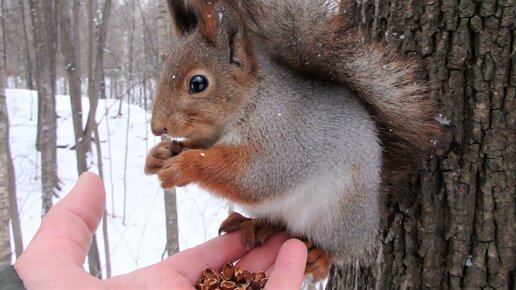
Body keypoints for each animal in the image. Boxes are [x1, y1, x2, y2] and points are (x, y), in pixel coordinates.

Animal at [144, 0, 440, 280]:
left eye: (198, 83)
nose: (157, 128)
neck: (251, 100)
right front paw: (159, 155)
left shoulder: (282, 138)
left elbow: (251, 176)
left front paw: (185, 165)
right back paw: (255, 224)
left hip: (339, 215)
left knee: (341, 250)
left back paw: (320, 256)